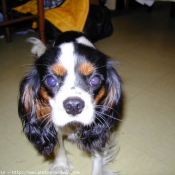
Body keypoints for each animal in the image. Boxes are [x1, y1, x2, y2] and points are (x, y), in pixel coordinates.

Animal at [17, 30, 121, 174]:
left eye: (95, 80)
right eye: (51, 81)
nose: (73, 106)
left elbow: (97, 156)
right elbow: (59, 147)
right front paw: (60, 165)